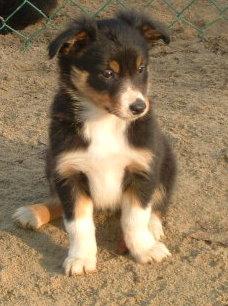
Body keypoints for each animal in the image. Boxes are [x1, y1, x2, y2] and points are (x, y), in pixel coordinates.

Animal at [12, 10, 176, 276]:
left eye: (141, 69)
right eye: (107, 73)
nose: (139, 107)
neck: (104, 120)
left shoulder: (143, 169)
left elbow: (135, 218)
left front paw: (144, 249)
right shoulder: (69, 171)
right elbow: (77, 223)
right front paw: (81, 258)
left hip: (167, 161)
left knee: (157, 203)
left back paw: (153, 228)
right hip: (51, 161)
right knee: (58, 201)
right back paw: (33, 212)